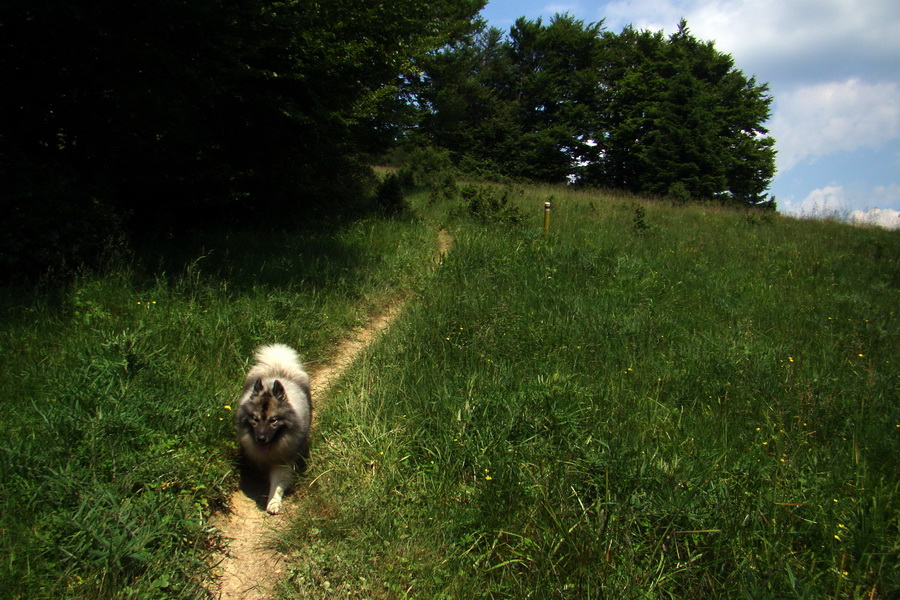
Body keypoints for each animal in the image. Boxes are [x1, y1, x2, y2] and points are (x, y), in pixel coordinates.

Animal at [234, 344, 312, 512]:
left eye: (273, 420)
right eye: (255, 419)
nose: (261, 438)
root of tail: (278, 365)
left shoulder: (282, 460)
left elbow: (277, 483)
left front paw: (273, 502)